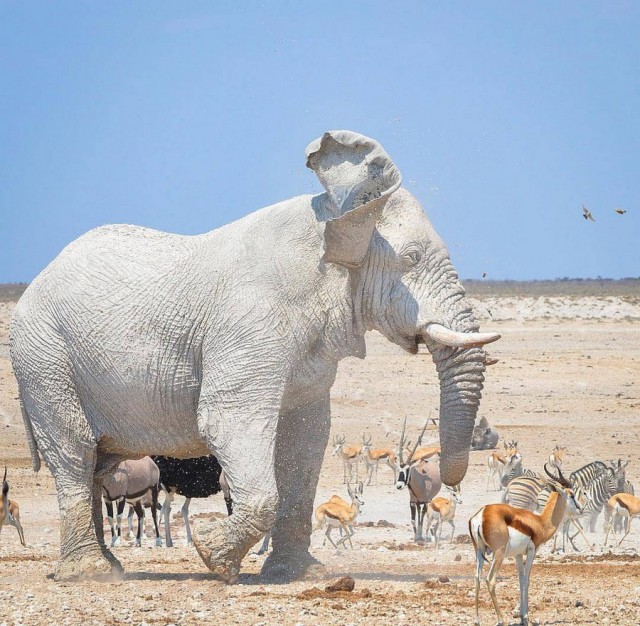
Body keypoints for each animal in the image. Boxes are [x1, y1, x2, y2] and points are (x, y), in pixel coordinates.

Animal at [10, 129, 500, 584]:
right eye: (412, 258)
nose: (443, 480)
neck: (336, 215)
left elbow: (306, 436)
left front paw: (298, 574)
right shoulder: (249, 325)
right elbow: (228, 421)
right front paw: (213, 558)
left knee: (99, 463)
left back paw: (107, 566)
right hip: (44, 358)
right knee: (75, 453)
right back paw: (91, 573)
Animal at [468, 464, 584, 624]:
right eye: (572, 494)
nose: (581, 508)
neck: (540, 522)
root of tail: (482, 514)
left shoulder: (517, 554)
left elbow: (520, 579)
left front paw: (522, 616)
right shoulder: (531, 551)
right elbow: (527, 580)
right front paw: (526, 617)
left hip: (479, 552)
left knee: (477, 578)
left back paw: (477, 620)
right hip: (499, 554)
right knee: (490, 580)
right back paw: (501, 620)